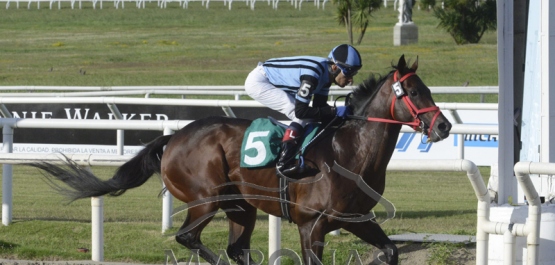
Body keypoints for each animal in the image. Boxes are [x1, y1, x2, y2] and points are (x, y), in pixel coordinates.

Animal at [29, 54, 452, 262]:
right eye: (414, 91)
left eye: (428, 88)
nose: (445, 126)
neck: (349, 152)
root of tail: (174, 137)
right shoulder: (311, 226)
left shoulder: (358, 219)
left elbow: (391, 252)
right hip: (206, 199)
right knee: (188, 237)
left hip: (241, 207)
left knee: (235, 249)